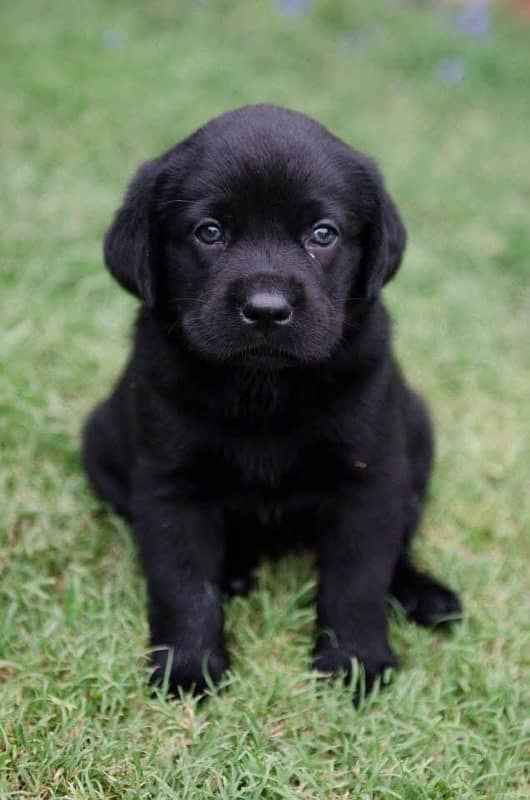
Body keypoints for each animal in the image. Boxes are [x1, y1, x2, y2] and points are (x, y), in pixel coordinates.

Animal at [81, 104, 458, 692]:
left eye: (323, 234)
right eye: (209, 232)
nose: (265, 309)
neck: (263, 388)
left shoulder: (369, 478)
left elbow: (358, 579)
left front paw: (355, 663)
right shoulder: (169, 487)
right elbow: (183, 585)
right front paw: (188, 668)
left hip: (416, 437)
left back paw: (426, 595)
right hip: (99, 442)